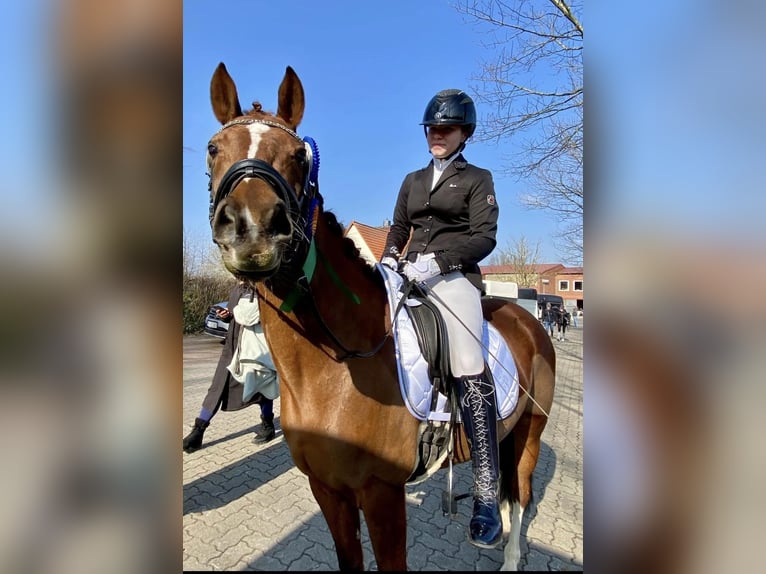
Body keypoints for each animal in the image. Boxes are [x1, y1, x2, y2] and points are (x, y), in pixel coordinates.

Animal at [207, 63, 556, 572]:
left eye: (298, 156)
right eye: (214, 148)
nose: (252, 231)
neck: (333, 370)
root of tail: (528, 320)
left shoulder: (381, 492)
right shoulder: (328, 488)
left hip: (530, 430)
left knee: (522, 492)